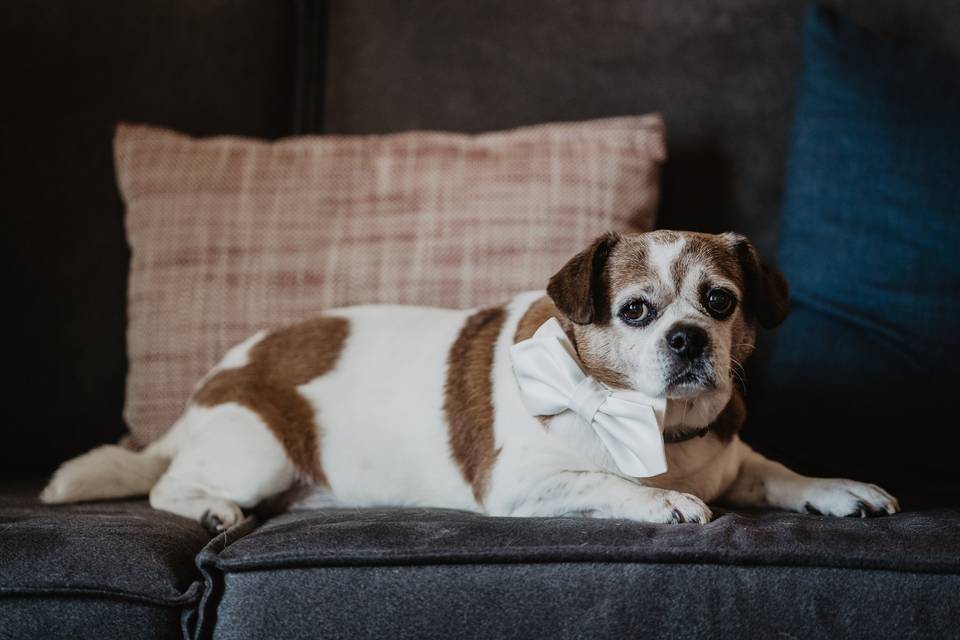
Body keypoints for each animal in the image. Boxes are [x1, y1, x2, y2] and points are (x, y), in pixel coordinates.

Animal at [41, 230, 900, 528]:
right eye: (635, 311)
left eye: (720, 300)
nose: (688, 337)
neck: (655, 424)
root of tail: (204, 392)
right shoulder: (523, 483)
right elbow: (610, 483)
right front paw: (663, 502)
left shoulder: (734, 459)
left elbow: (780, 474)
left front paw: (837, 488)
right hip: (259, 451)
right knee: (166, 486)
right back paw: (212, 508)